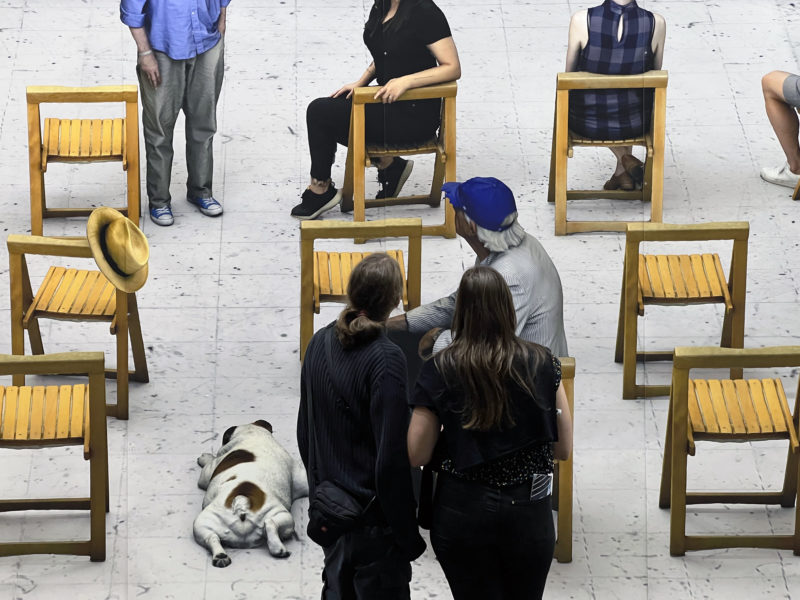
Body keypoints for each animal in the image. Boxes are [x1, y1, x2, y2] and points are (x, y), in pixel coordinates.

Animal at [194, 418, 310, 568]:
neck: (253, 434)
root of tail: (242, 505)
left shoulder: (209, 471)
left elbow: (206, 469)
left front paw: (204, 458)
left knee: (212, 537)